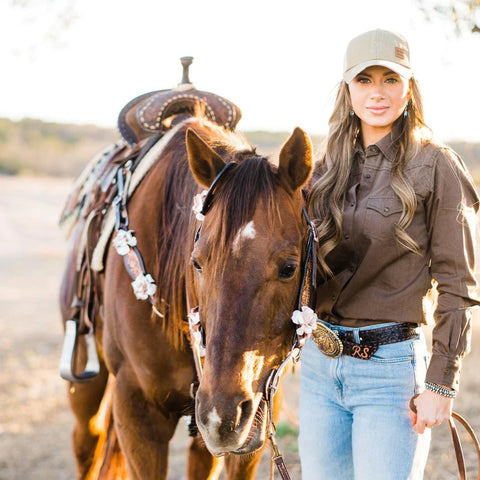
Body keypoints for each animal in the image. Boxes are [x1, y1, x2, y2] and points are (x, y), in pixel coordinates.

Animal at [58, 109, 314, 480]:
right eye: (197, 263)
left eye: (289, 268)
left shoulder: (253, 422)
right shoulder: (138, 413)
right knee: (87, 443)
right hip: (86, 377)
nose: (225, 415)